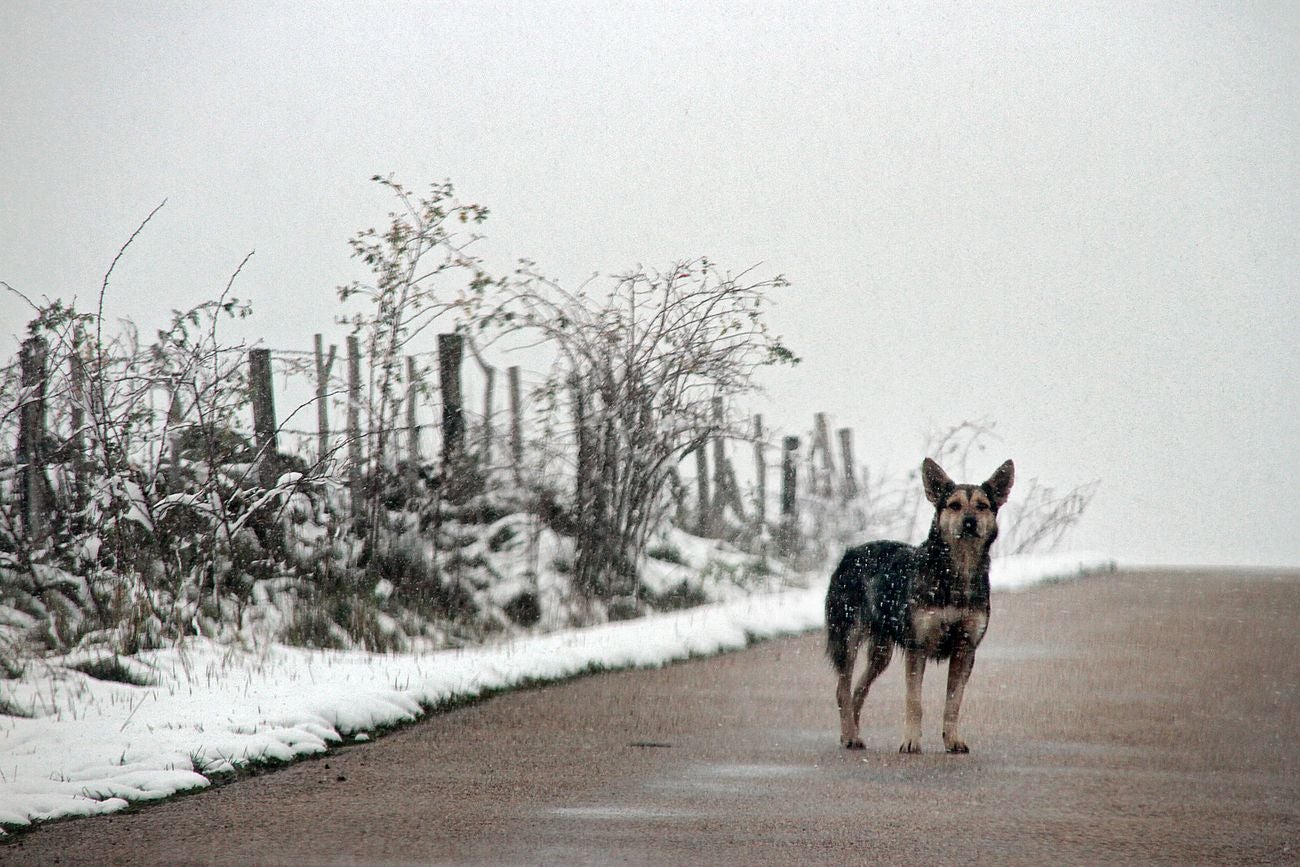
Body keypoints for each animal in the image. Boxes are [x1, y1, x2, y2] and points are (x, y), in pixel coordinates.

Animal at [821, 460, 1013, 753]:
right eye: (954, 505)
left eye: (982, 505)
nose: (970, 522)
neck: (955, 573)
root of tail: (849, 554)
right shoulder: (917, 647)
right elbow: (914, 701)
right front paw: (911, 741)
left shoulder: (965, 649)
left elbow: (953, 703)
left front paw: (952, 740)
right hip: (849, 638)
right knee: (842, 690)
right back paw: (850, 736)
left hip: (882, 652)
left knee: (858, 689)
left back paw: (850, 733)